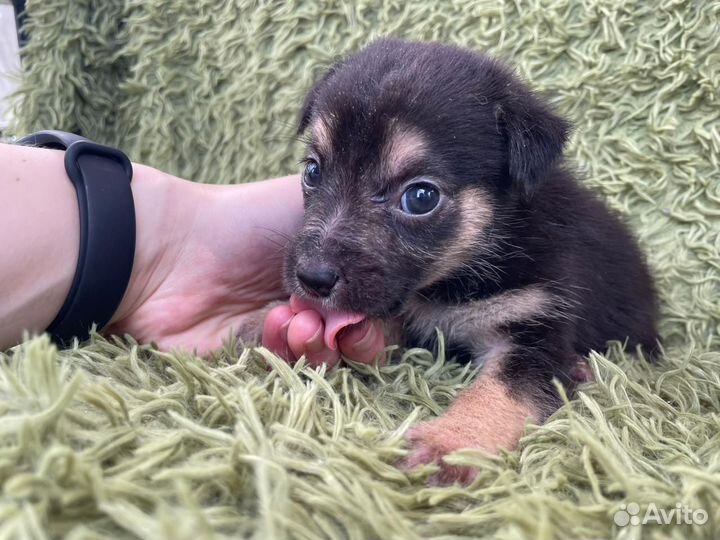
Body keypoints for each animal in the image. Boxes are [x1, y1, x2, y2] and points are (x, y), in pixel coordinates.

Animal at [280, 39, 660, 486]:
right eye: (312, 171)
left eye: (421, 197)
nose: (312, 277)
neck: (454, 280)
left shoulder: (534, 332)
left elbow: (496, 392)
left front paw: (449, 444)